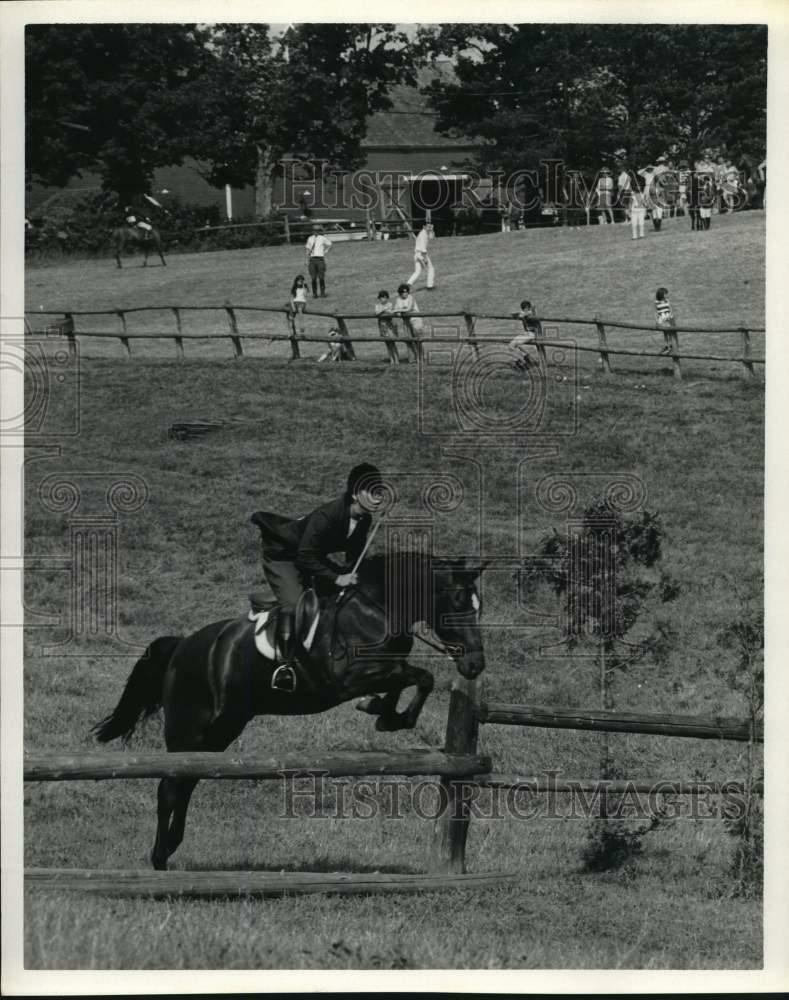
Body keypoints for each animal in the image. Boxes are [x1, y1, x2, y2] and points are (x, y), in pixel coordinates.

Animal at [92, 548, 486, 868]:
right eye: (457, 603)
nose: (475, 666)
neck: (377, 607)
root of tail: (182, 645)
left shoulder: (379, 671)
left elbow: (411, 678)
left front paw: (384, 712)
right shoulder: (348, 678)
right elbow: (419, 676)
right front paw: (388, 714)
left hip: (221, 729)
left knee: (186, 782)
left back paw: (170, 847)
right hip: (189, 728)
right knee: (169, 786)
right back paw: (159, 856)